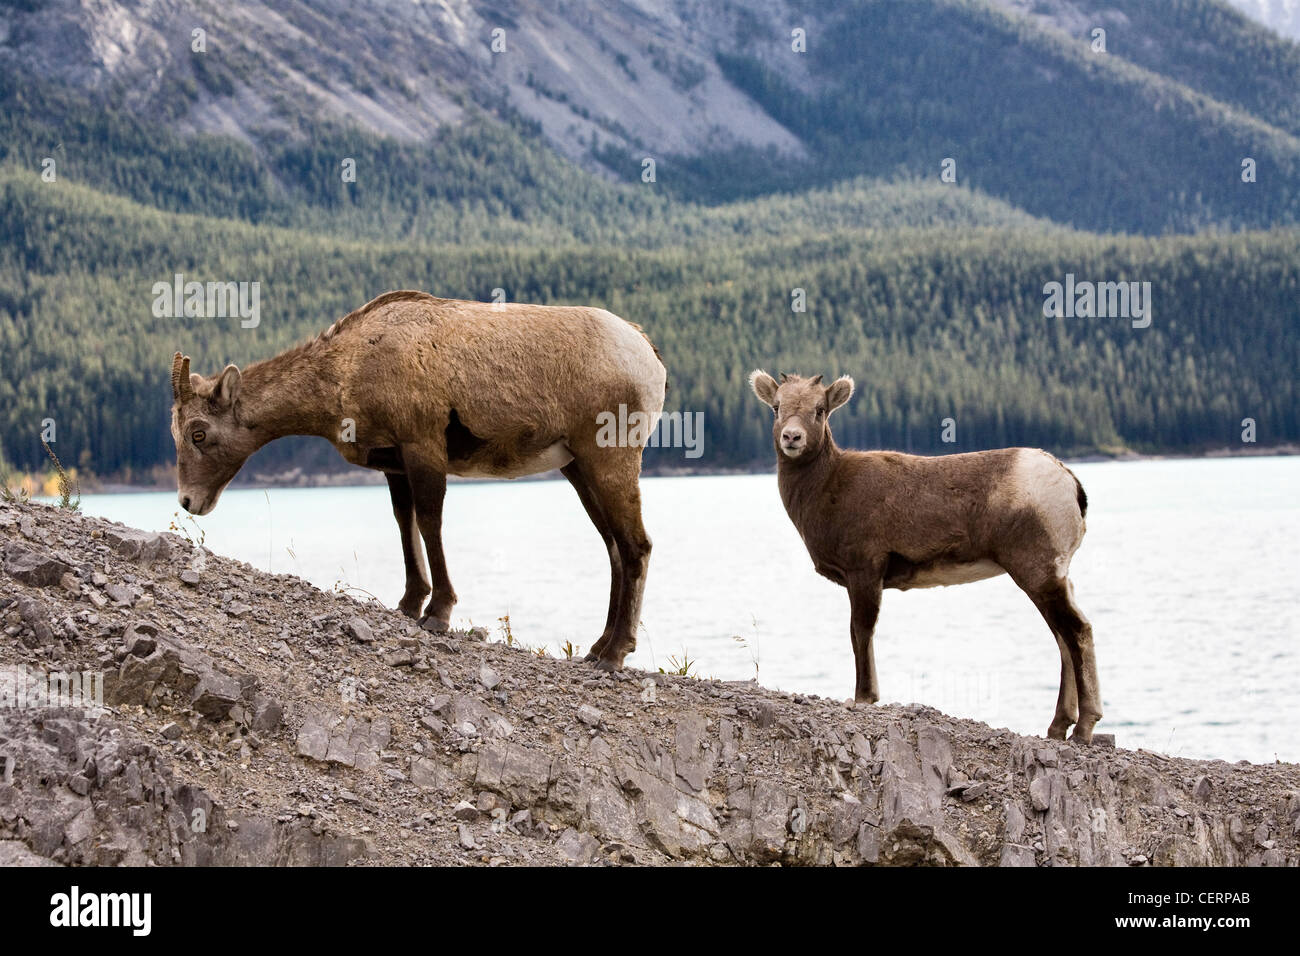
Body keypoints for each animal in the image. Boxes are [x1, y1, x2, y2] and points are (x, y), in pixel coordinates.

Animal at [170, 290, 666, 670]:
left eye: (199, 432)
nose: (189, 501)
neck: (346, 372)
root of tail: (650, 357)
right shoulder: (395, 464)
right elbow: (404, 524)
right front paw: (409, 604)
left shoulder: (423, 447)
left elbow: (430, 523)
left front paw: (438, 613)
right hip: (577, 467)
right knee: (614, 545)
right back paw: (597, 648)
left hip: (609, 456)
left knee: (636, 544)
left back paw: (615, 655)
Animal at [749, 370, 1101, 743]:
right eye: (776, 407)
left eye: (819, 410)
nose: (792, 437)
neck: (828, 488)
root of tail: (1071, 484)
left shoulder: (865, 570)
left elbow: (860, 631)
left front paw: (864, 696)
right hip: (1052, 578)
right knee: (1063, 638)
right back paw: (1057, 726)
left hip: (1037, 572)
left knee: (1077, 631)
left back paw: (1083, 729)